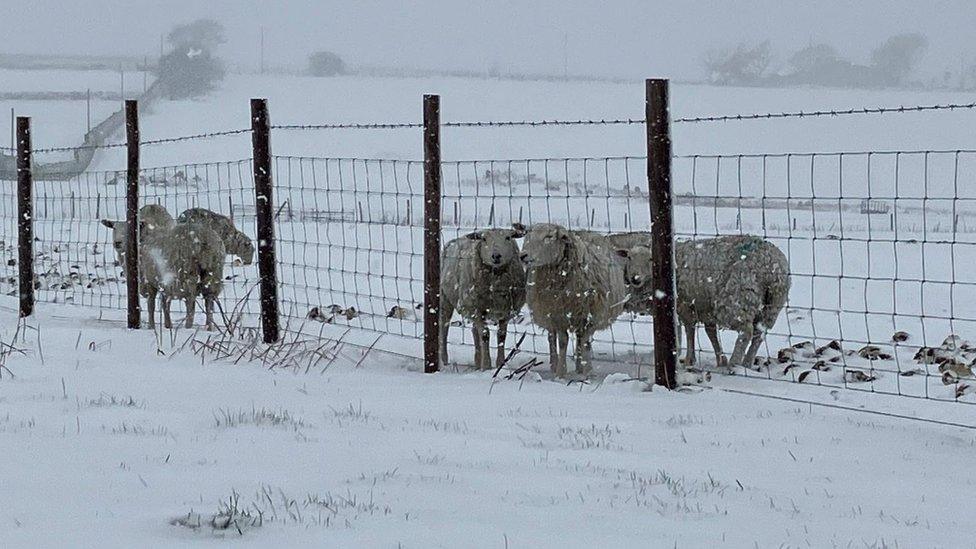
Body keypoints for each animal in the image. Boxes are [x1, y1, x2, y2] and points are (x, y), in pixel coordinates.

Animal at [440, 225, 528, 370]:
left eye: (508, 237)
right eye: (484, 239)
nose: (496, 256)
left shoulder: (505, 311)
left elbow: (501, 336)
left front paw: (500, 364)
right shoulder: (477, 309)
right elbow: (485, 335)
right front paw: (486, 365)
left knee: (475, 331)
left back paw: (477, 361)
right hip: (446, 298)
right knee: (444, 327)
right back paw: (444, 360)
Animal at [520, 220, 624, 374]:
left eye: (549, 237)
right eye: (528, 235)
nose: (523, 255)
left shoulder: (588, 316)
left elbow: (584, 342)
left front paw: (586, 371)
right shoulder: (558, 314)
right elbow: (563, 341)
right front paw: (561, 372)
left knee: (581, 339)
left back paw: (580, 366)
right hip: (547, 314)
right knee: (551, 337)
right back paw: (554, 364)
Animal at [616, 234, 792, 368]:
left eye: (651, 259)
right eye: (629, 257)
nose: (635, 278)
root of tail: (771, 266)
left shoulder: (685, 304)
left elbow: (689, 329)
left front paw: (688, 358)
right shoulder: (704, 307)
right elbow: (710, 332)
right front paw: (720, 358)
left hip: (736, 300)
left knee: (746, 332)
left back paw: (734, 365)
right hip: (772, 305)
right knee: (759, 333)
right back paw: (747, 363)